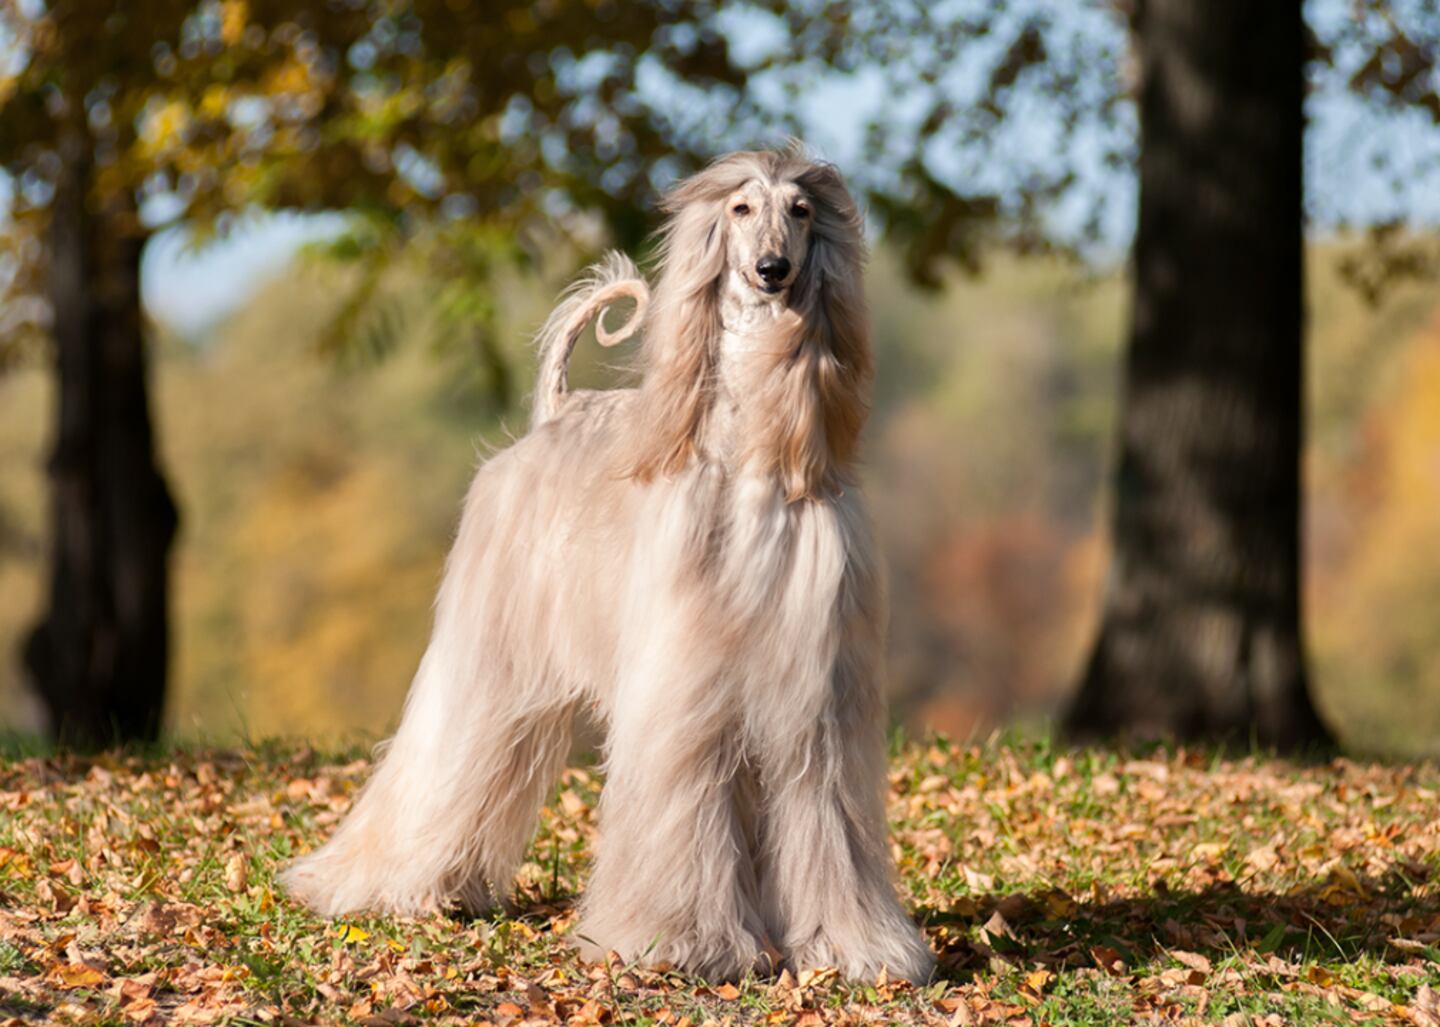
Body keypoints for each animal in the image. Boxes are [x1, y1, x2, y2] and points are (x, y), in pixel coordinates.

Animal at [281, 146, 934, 984]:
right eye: (740, 210)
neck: (751, 452)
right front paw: (679, 940)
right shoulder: (683, 683)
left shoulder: (813, 698)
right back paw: (378, 883)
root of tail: (557, 412)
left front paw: (846, 946)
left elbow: (823, 817)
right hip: (489, 647)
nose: (772, 270)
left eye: (801, 210)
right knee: (443, 751)